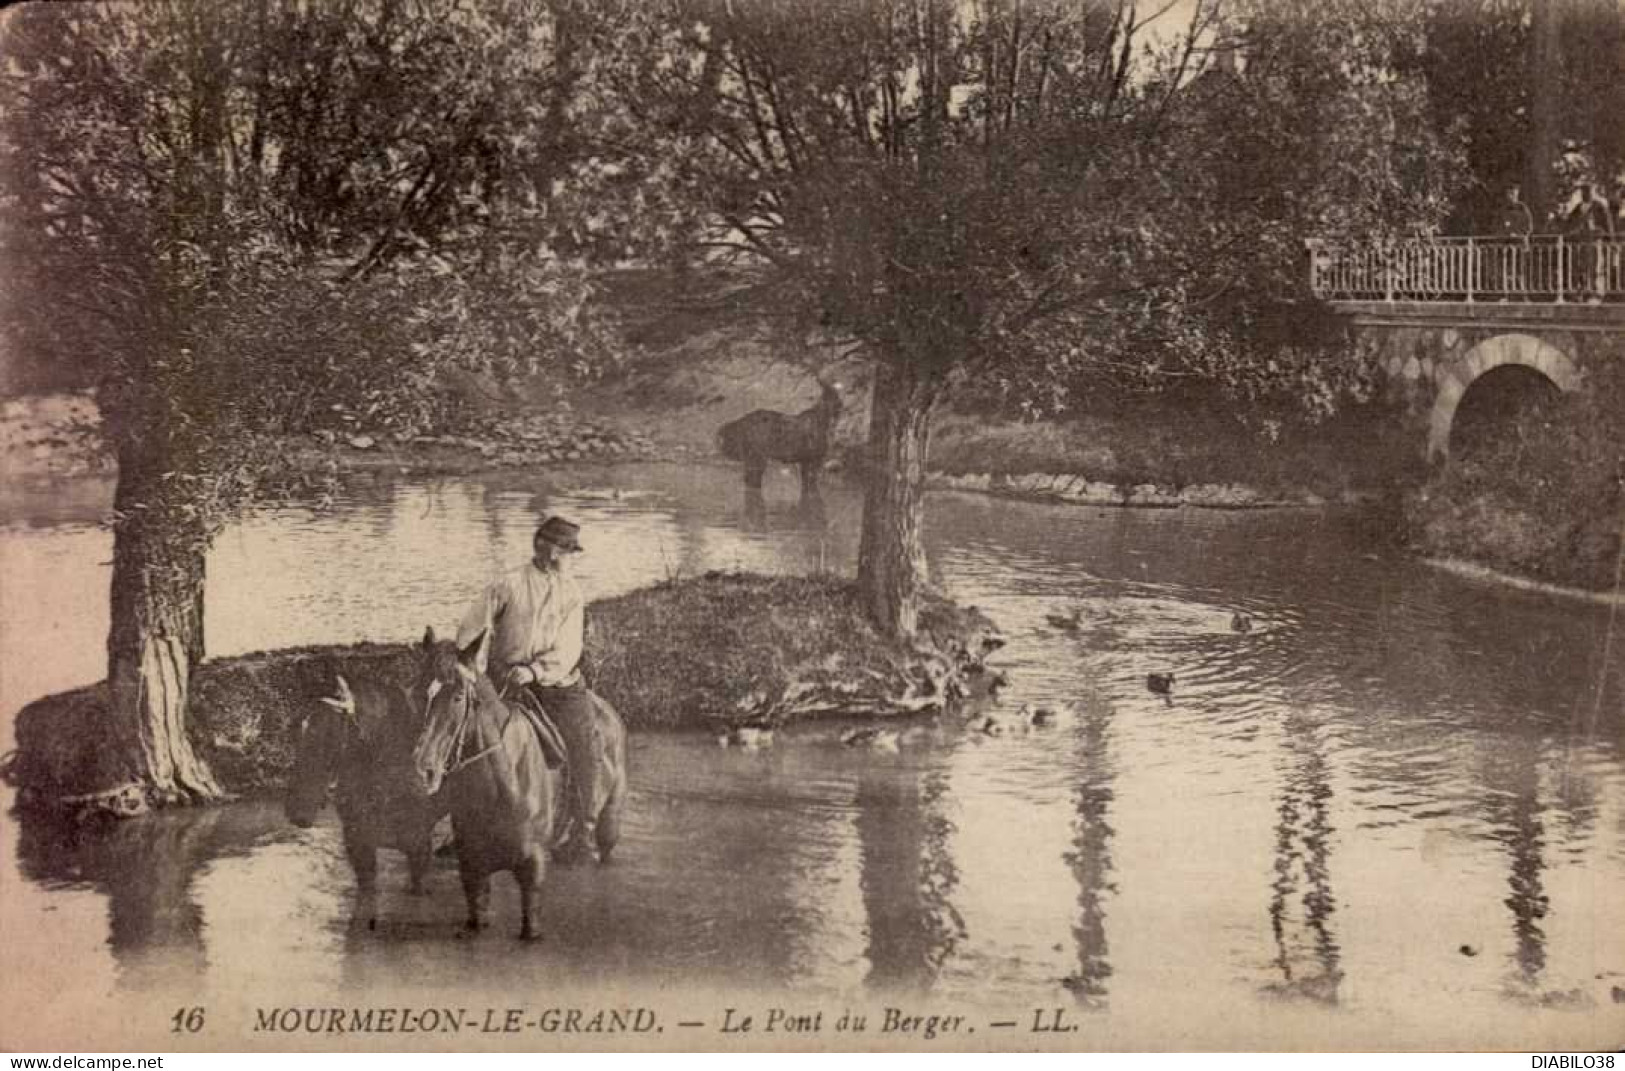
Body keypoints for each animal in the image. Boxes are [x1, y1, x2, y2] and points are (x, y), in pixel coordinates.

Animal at [412, 627, 627, 936]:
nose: (424, 771)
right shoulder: (473, 871)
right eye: (418, 691)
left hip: (608, 823)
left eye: (458, 696)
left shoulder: (532, 869)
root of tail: (609, 712)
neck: (501, 786)